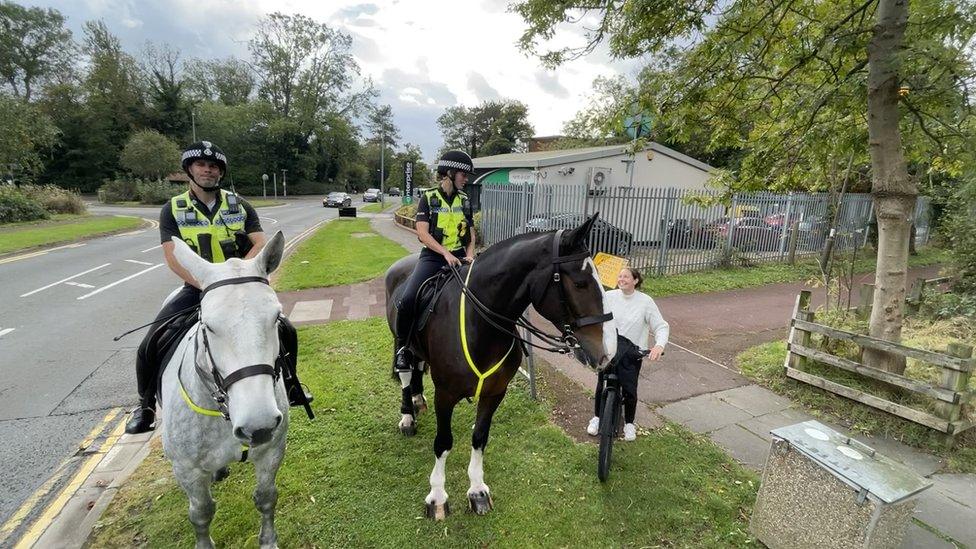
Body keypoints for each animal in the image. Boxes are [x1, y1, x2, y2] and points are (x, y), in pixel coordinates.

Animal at [160, 231, 288, 548]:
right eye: (208, 326)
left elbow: (266, 497)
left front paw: (269, 540)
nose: (258, 425)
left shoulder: (271, 451)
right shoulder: (187, 470)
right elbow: (201, 513)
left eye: (276, 318)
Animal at [386, 213, 612, 520]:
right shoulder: (445, 394)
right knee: (407, 373)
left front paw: (477, 491)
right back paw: (408, 416)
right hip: (401, 341)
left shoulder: (495, 393)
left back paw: (418, 400)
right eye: (580, 284)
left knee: (419, 369)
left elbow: (480, 437)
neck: (479, 324)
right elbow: (443, 442)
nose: (605, 353)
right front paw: (437, 496)